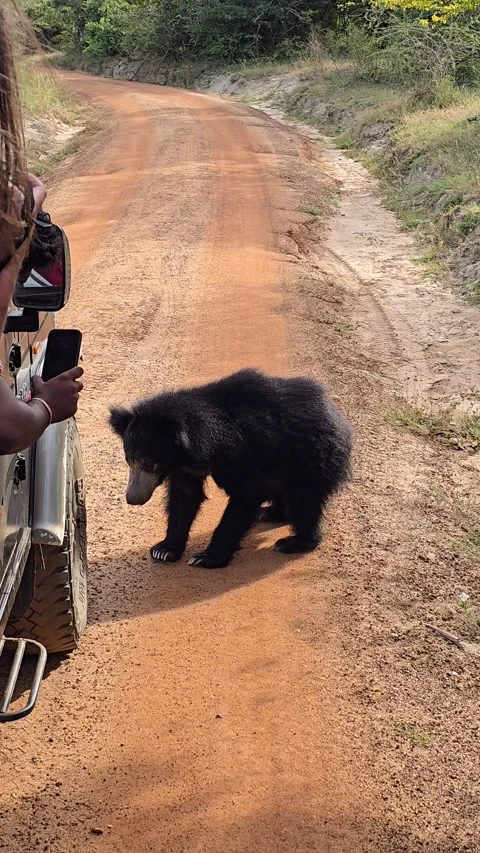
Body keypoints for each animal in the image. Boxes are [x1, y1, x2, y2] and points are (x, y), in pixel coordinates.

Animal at [109, 368, 353, 569]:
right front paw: (164, 550)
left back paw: (293, 542)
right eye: (129, 461)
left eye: (150, 463)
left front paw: (205, 558)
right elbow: (184, 498)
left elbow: (245, 497)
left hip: (314, 457)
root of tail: (337, 416)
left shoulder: (245, 454)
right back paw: (270, 513)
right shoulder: (186, 470)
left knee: (303, 501)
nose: (133, 498)